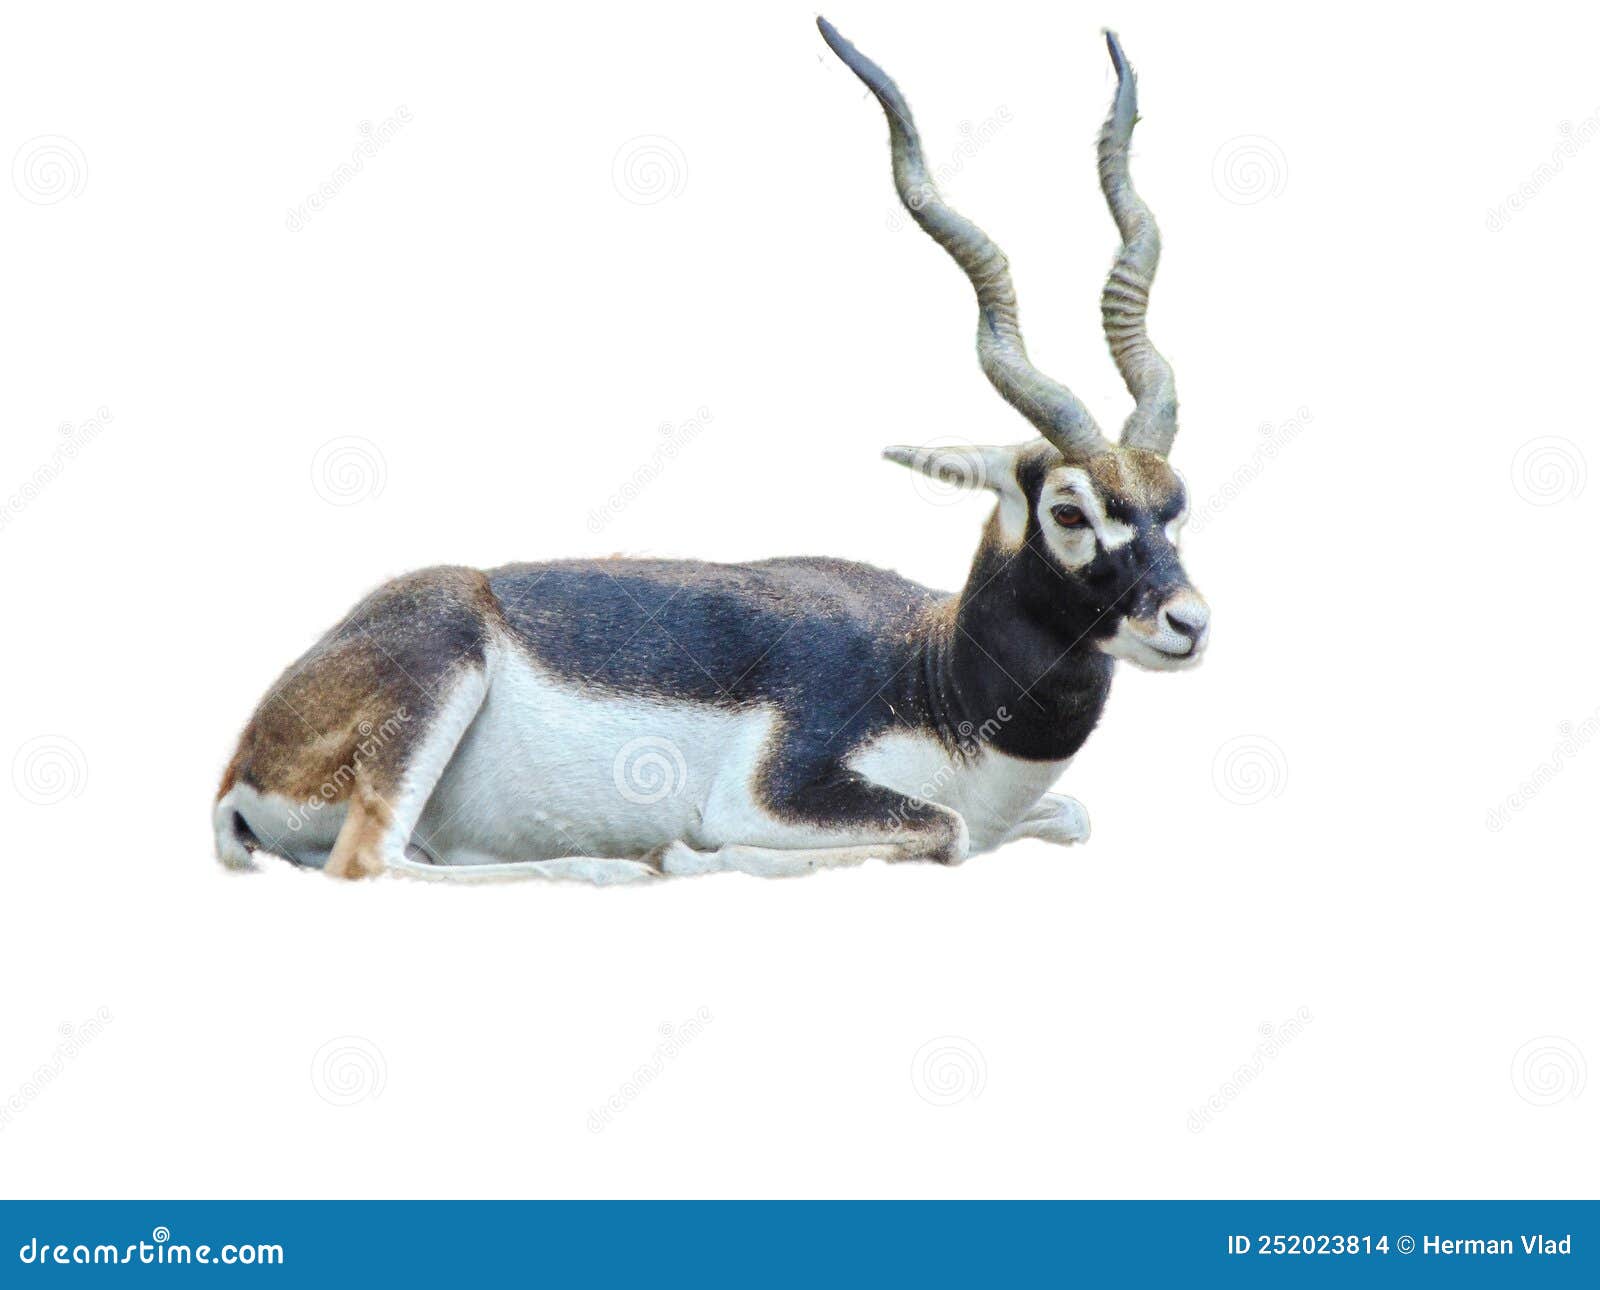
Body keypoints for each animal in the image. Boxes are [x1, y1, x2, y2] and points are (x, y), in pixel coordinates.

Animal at [213, 17, 1209, 883]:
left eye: (1175, 505)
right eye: (1070, 509)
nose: (1189, 623)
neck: (936, 673)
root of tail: (242, 760)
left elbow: (1067, 818)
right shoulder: (775, 792)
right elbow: (944, 832)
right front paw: (691, 855)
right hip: (431, 692)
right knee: (367, 865)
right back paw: (610, 868)